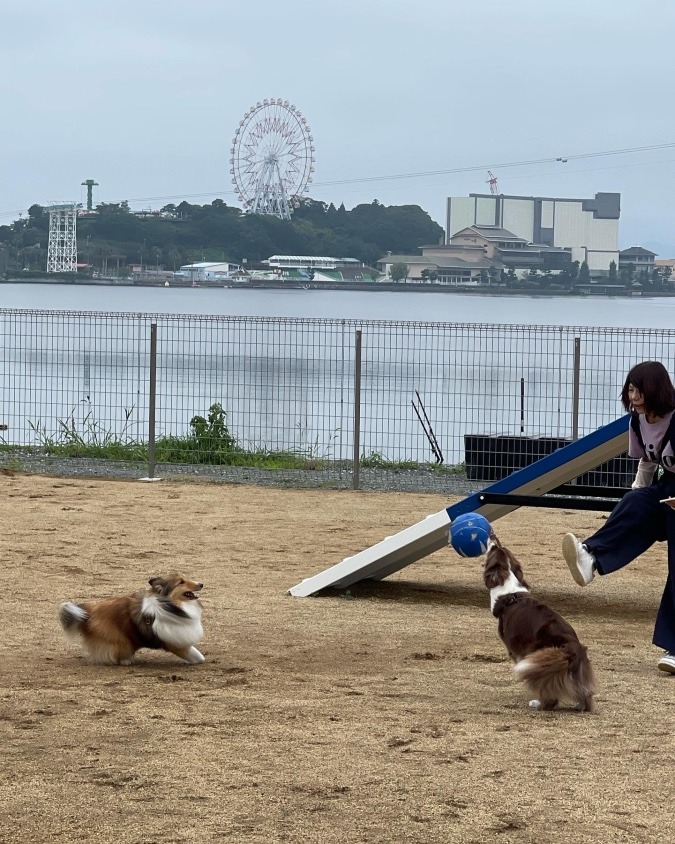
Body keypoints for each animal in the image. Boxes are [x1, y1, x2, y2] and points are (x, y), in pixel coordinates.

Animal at [59, 572, 205, 664]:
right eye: (181, 582)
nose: (201, 584)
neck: (170, 605)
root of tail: (88, 611)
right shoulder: (173, 639)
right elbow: (195, 655)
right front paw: (198, 660)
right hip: (120, 639)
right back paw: (125, 660)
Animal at [480, 536, 596, 712]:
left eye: (494, 549)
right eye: (500, 547)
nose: (493, 536)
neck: (510, 593)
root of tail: (571, 646)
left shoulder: (517, 652)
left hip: (538, 657)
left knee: (549, 695)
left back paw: (539, 703)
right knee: (584, 693)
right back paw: (581, 706)